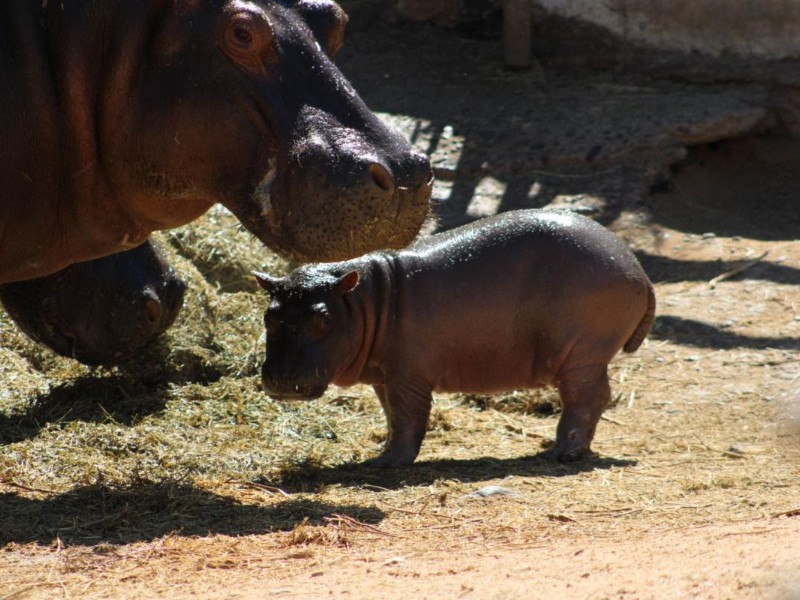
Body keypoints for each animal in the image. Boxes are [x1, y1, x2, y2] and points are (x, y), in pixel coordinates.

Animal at [256, 211, 656, 468]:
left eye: (322, 318)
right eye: (268, 315)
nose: (281, 380)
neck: (362, 300)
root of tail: (638, 269)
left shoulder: (408, 377)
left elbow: (408, 418)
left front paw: (388, 464)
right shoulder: (386, 376)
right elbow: (391, 417)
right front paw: (380, 454)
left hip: (581, 354)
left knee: (586, 398)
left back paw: (559, 454)